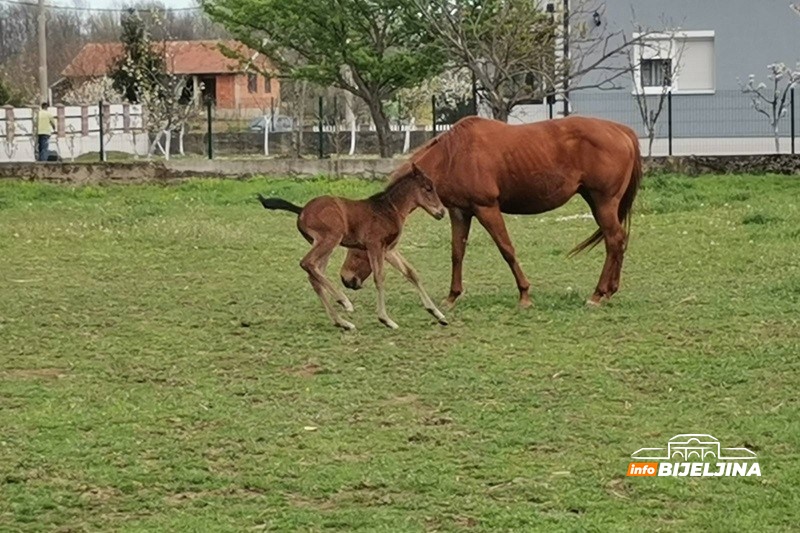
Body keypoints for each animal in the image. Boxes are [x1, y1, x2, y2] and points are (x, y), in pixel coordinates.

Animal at [260, 166, 450, 330]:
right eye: (428, 189)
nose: (441, 212)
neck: (389, 209)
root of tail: (301, 211)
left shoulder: (388, 249)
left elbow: (411, 273)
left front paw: (438, 314)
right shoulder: (375, 245)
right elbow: (379, 278)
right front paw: (386, 320)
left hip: (322, 245)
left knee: (314, 276)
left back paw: (343, 322)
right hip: (330, 239)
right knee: (307, 263)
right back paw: (344, 302)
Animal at [340, 116, 644, 308]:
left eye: (360, 249)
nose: (346, 279)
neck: (454, 155)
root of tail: (622, 131)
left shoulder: (486, 209)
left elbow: (506, 249)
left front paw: (524, 295)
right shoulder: (460, 212)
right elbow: (457, 252)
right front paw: (452, 297)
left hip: (603, 203)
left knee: (614, 241)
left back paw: (598, 294)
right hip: (598, 203)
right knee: (617, 242)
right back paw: (609, 291)